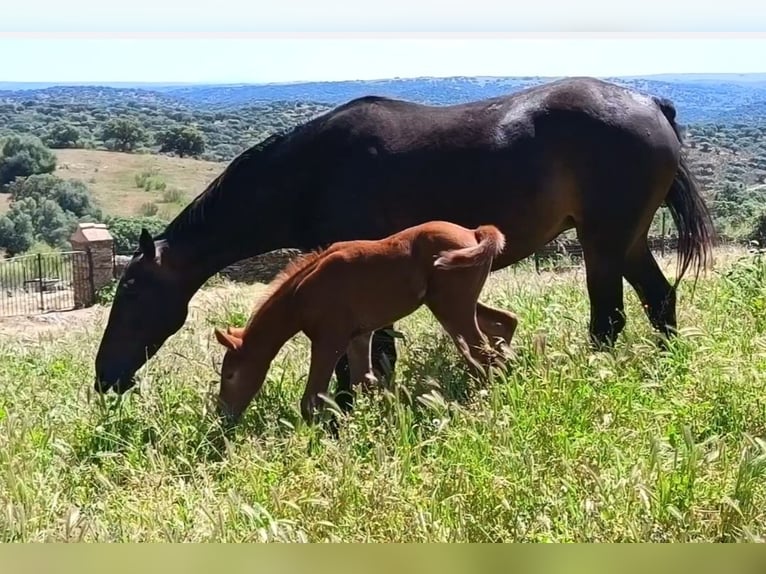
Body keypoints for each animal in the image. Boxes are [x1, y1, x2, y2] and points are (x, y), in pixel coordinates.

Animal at [211, 220, 517, 426]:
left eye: (230, 375)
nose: (223, 415)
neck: (301, 294)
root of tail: (474, 232)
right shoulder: (359, 336)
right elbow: (365, 383)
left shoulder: (329, 342)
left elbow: (312, 399)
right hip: (459, 304)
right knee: (504, 323)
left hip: (451, 307)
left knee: (480, 353)